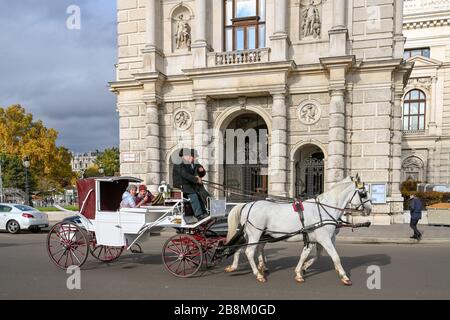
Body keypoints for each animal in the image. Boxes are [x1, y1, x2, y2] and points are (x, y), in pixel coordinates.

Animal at [223, 175, 370, 284]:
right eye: (363, 193)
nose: (369, 209)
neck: (324, 210)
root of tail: (248, 205)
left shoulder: (320, 238)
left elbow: (310, 255)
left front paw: (301, 270)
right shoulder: (324, 238)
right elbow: (335, 256)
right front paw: (344, 276)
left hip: (251, 235)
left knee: (241, 249)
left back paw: (237, 266)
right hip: (255, 234)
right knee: (248, 252)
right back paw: (258, 274)